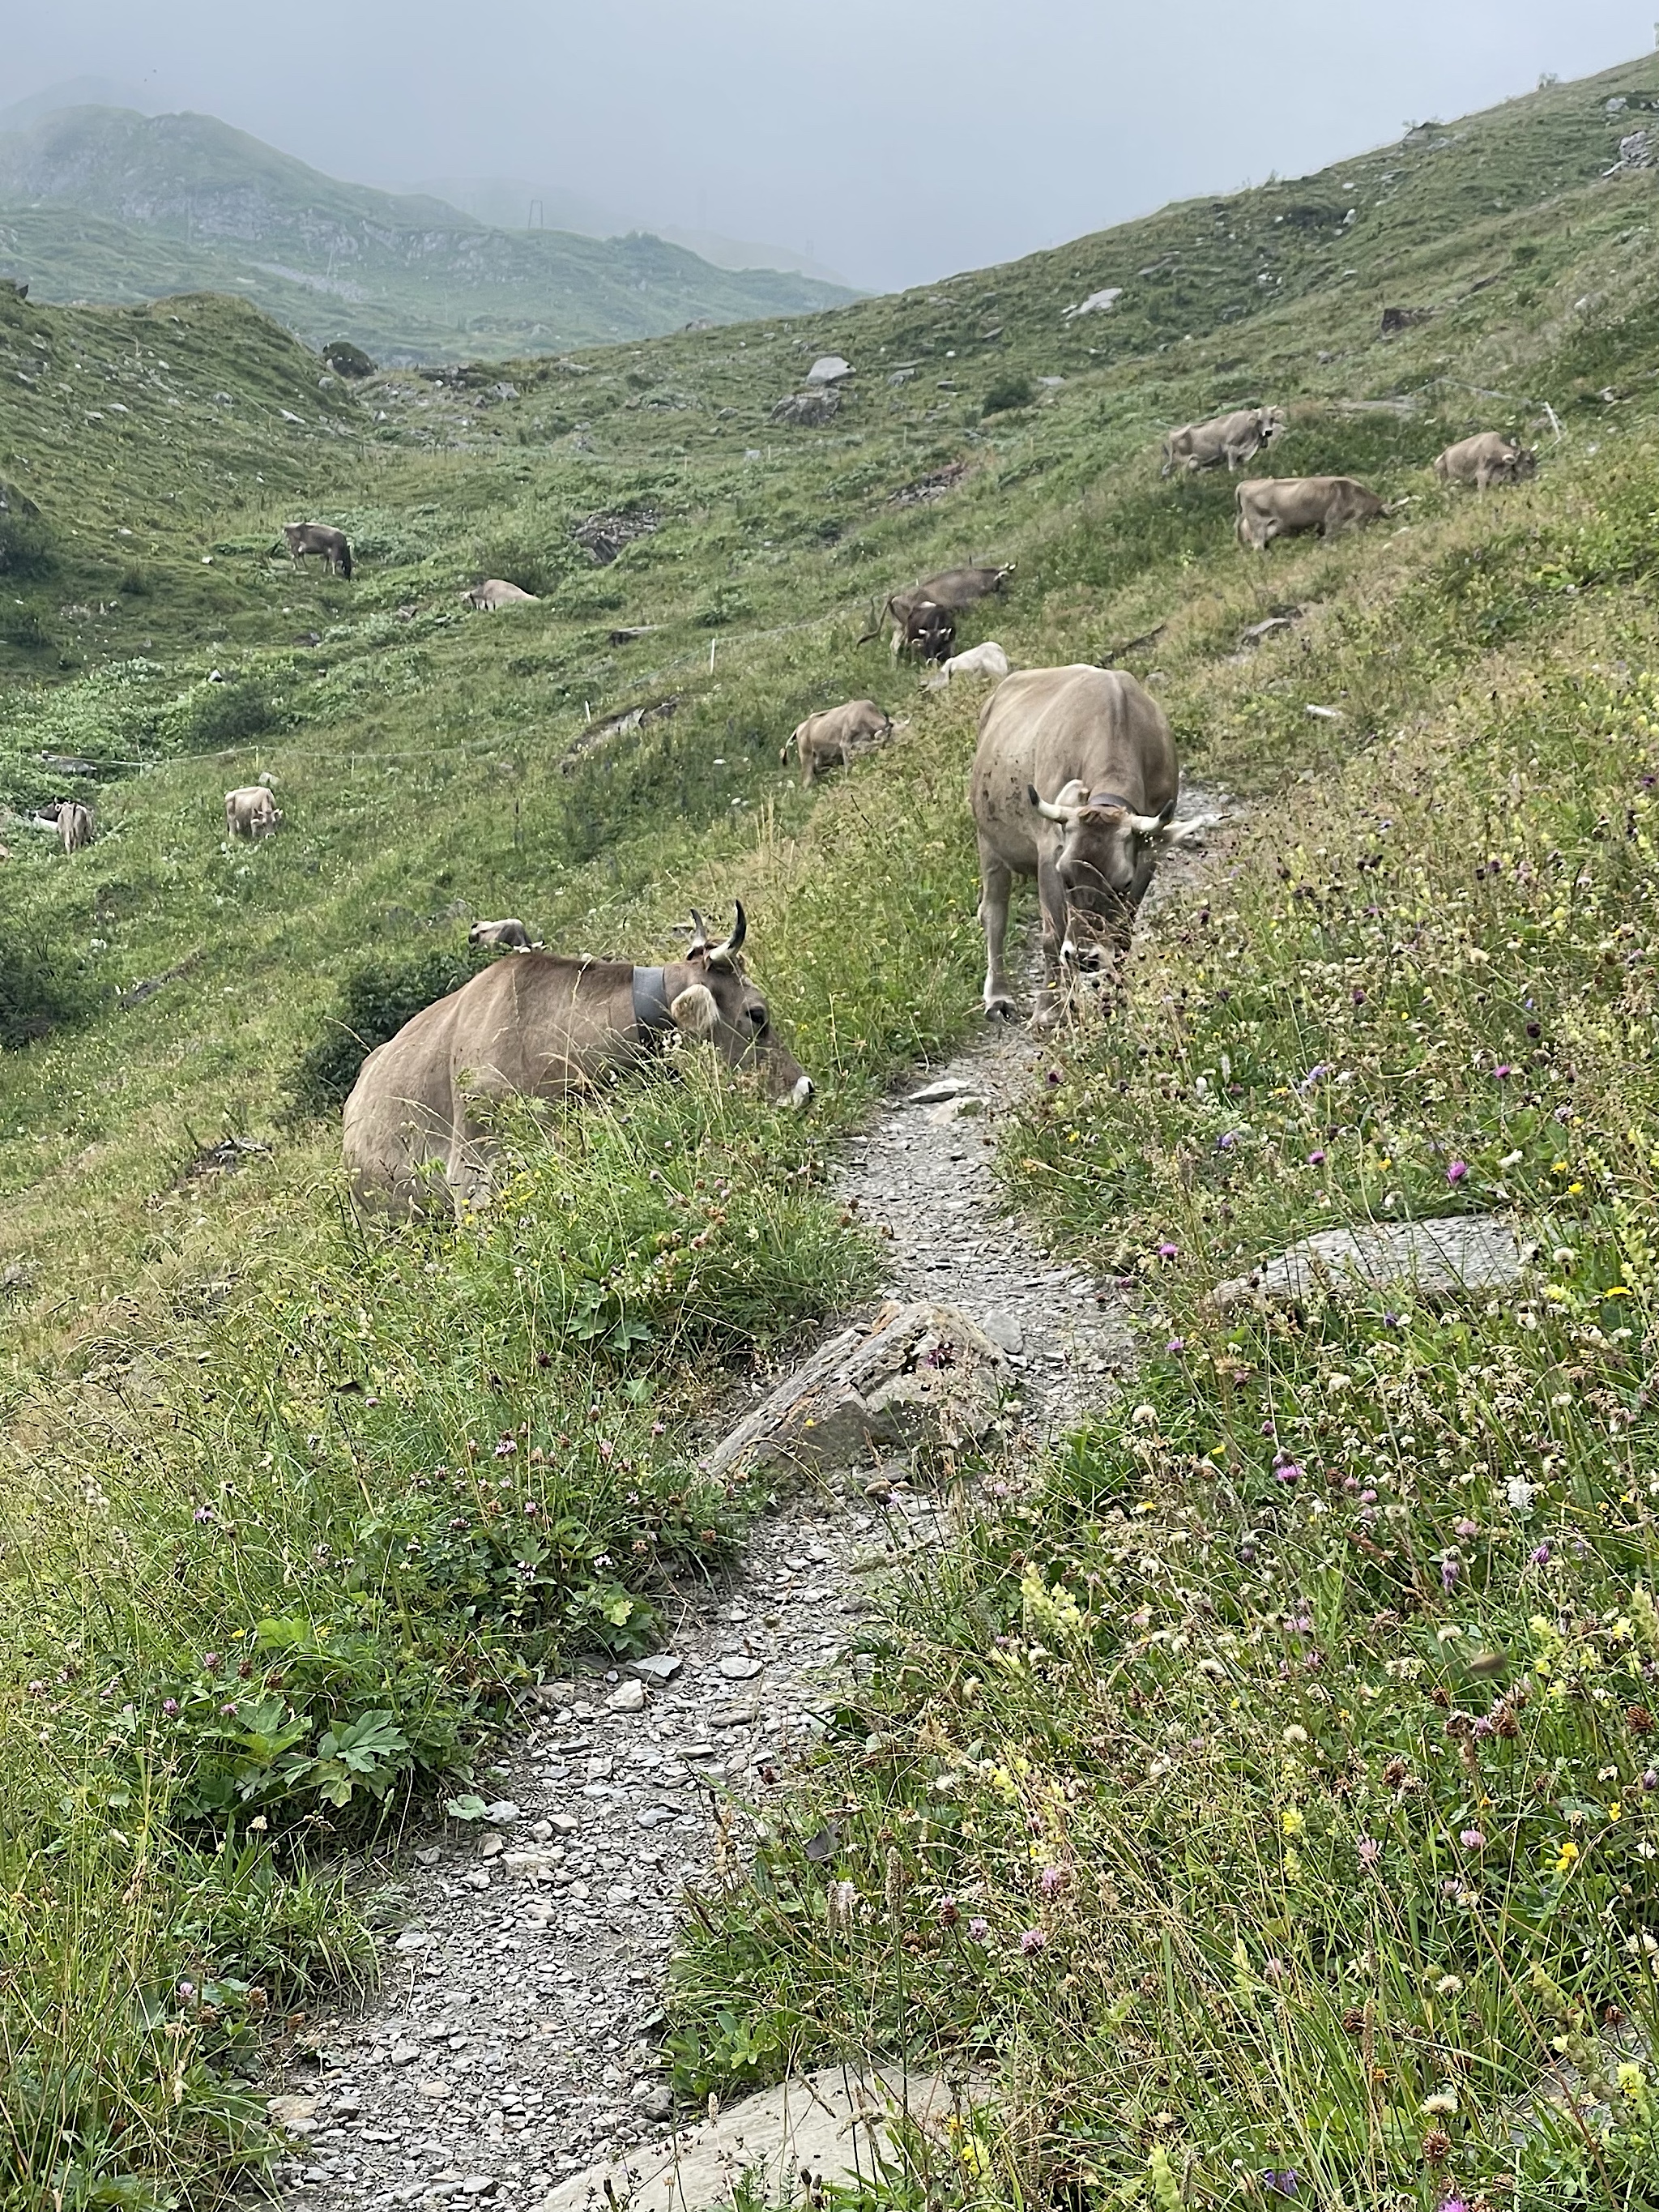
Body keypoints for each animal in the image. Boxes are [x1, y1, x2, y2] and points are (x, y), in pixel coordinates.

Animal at [969, 665, 1218, 1018]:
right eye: (1065, 876)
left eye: (1123, 882)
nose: (1083, 957)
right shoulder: (1049, 853)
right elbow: (1051, 937)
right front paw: (1049, 1011)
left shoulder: (1147, 859)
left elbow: (1123, 937)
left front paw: (1120, 1001)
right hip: (988, 841)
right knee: (994, 914)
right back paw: (998, 996)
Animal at [1161, 406, 1286, 477]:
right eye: (1259, 421)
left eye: (1272, 418)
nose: (1268, 432)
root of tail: (1171, 433)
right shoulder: (1232, 447)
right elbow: (1232, 469)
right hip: (1183, 463)